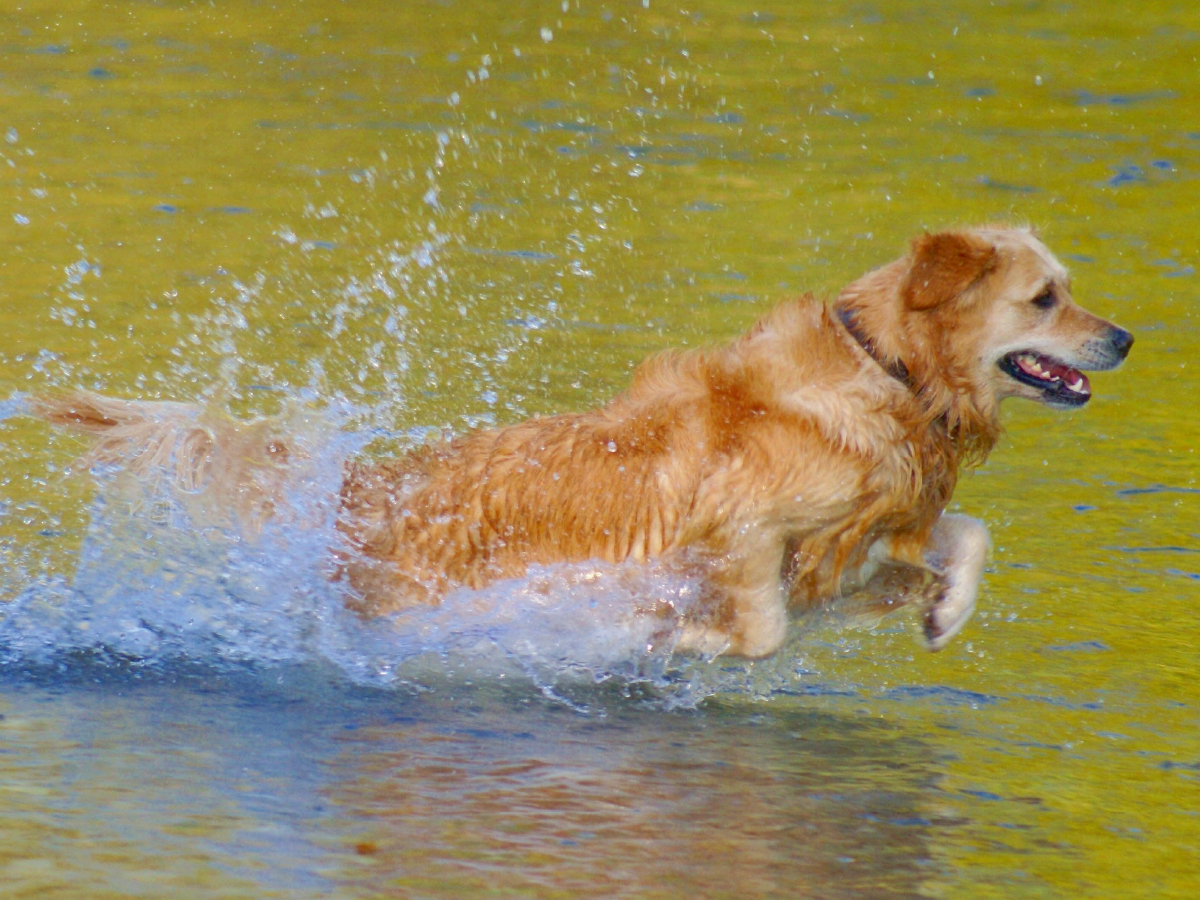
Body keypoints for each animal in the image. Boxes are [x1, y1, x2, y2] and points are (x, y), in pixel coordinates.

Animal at [32, 225, 1128, 662]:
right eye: (1046, 297)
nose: (1122, 336)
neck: (888, 369)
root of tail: (360, 484)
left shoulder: (866, 524)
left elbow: (965, 534)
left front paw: (943, 611)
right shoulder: (737, 532)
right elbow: (762, 627)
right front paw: (682, 641)